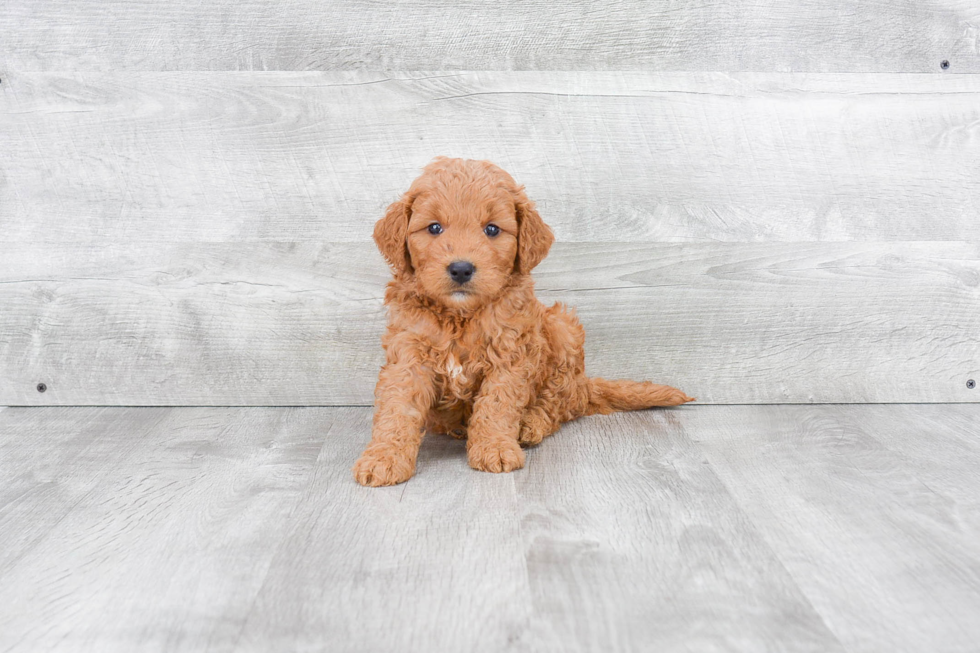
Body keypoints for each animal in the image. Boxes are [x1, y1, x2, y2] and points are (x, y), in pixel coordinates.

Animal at [356, 157, 692, 484]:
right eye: (434, 228)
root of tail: (584, 385)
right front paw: (383, 458)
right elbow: (396, 410)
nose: (461, 269)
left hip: (563, 329)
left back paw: (530, 424)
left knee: (557, 405)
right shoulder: (408, 356)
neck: (461, 316)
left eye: (492, 230)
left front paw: (494, 447)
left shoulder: (510, 355)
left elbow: (497, 404)